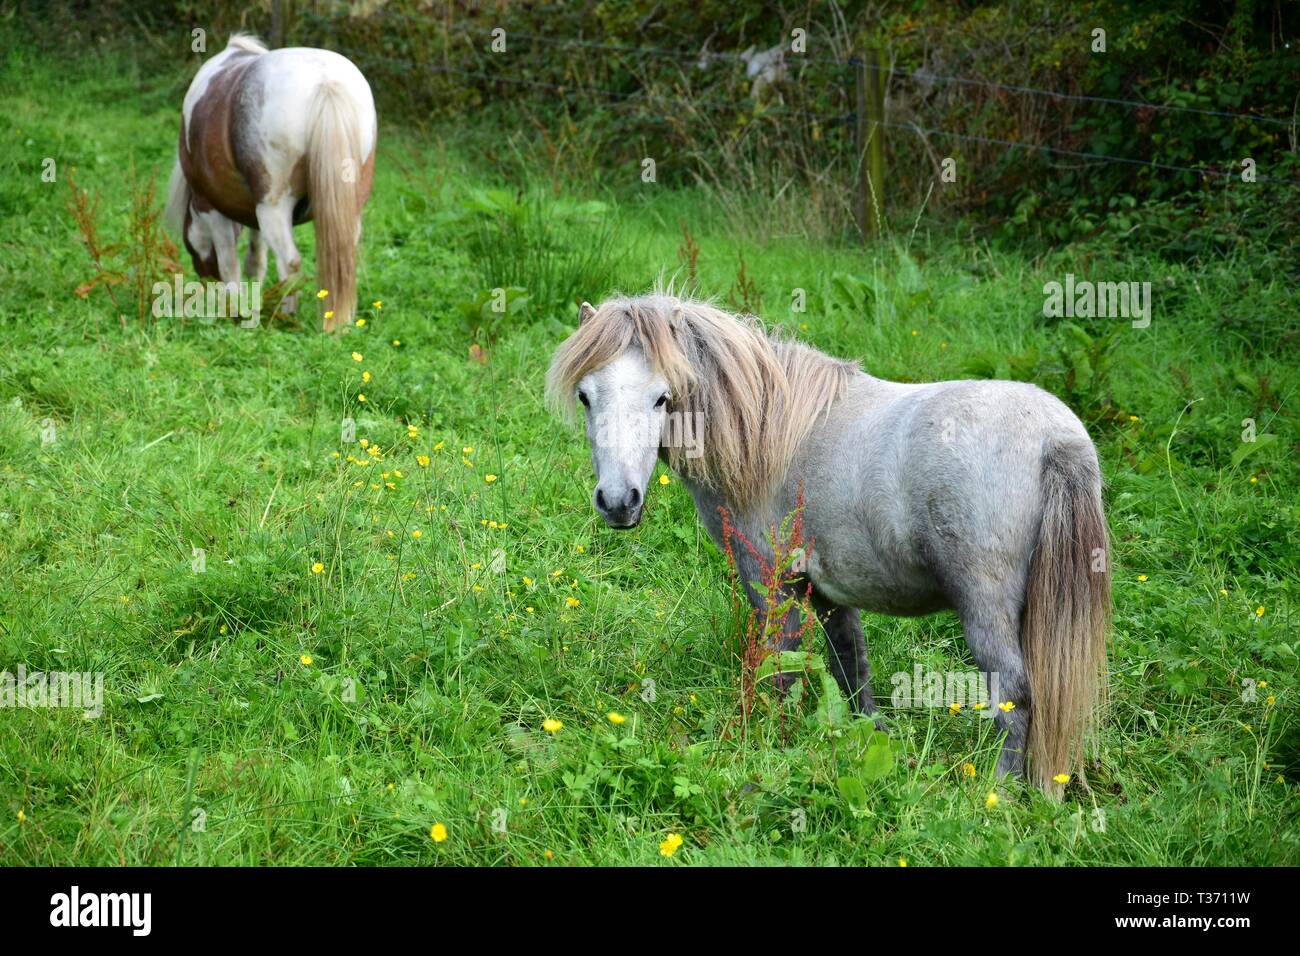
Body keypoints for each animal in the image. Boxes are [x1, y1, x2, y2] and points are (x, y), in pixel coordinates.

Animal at [163, 35, 377, 332]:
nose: (204, 278)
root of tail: (325, 82)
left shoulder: (211, 207)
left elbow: (230, 264)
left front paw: (237, 312)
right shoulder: (251, 212)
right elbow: (256, 258)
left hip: (273, 208)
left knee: (290, 262)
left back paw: (286, 317)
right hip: (348, 210)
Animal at [543, 295, 1112, 796]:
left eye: (661, 397)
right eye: (586, 396)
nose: (618, 502)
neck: (770, 434)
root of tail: (1055, 438)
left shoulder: (773, 585)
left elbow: (783, 669)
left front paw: (780, 743)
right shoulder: (829, 593)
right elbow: (851, 666)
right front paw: (868, 742)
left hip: (985, 607)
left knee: (1013, 693)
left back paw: (997, 792)